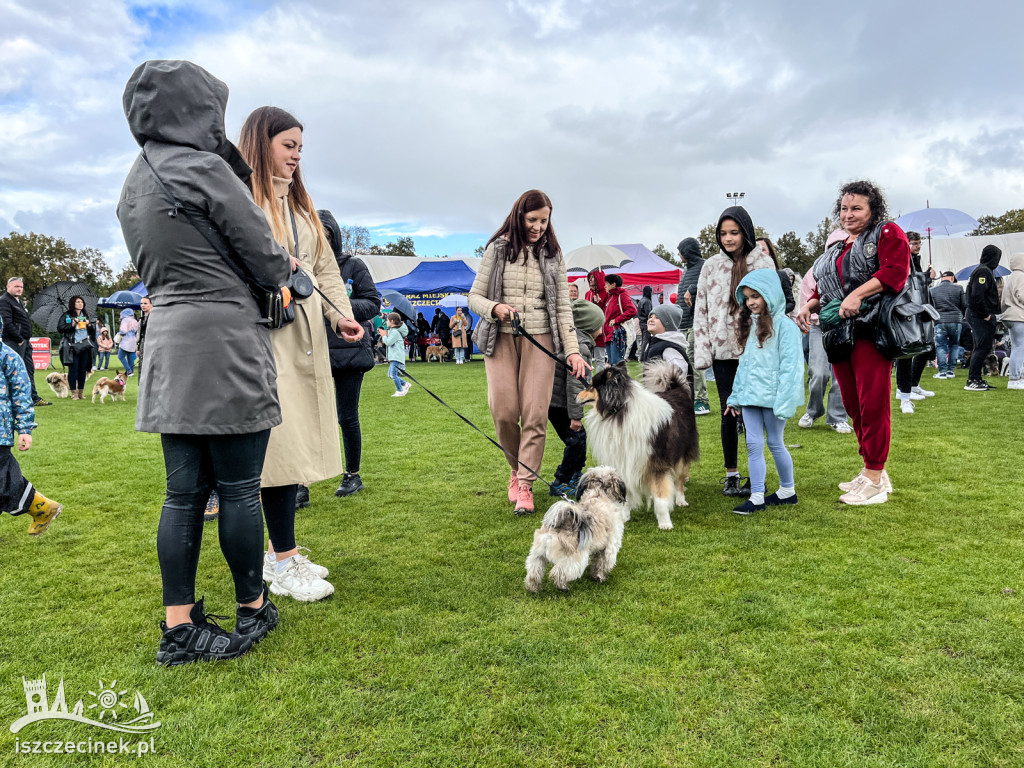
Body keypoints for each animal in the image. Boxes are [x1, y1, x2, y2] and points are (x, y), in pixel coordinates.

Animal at [577, 360, 696, 528]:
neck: (619, 411)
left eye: (592, 386)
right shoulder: (623, 460)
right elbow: (624, 494)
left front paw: (665, 522)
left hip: (682, 453)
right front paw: (623, 517)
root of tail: (676, 387)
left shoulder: (658, 464)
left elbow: (661, 498)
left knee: (679, 479)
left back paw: (680, 500)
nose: (576, 397)